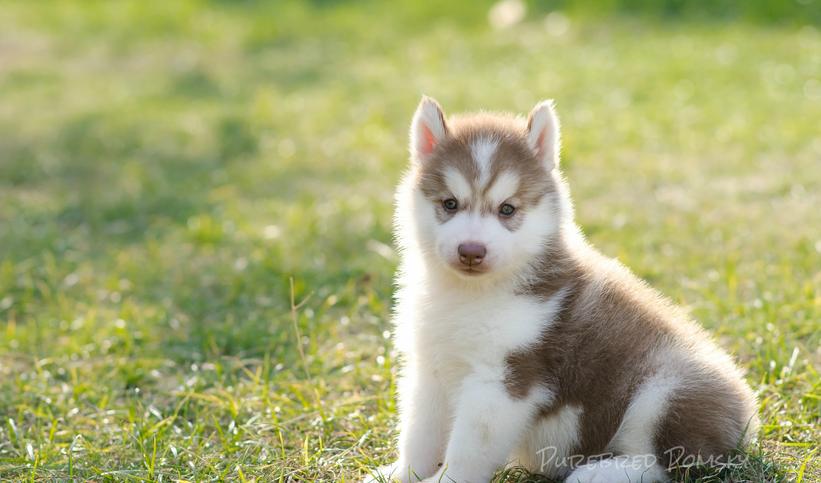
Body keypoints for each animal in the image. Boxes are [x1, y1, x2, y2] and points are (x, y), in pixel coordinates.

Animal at [366, 97, 756, 483]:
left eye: (507, 209)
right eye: (450, 204)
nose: (471, 251)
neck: (470, 295)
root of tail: (748, 419)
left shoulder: (503, 380)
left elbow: (468, 450)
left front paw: (445, 480)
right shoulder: (429, 367)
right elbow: (419, 432)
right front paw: (401, 473)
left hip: (667, 388)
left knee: (674, 463)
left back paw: (601, 473)